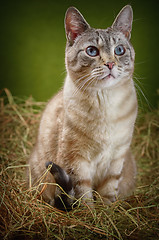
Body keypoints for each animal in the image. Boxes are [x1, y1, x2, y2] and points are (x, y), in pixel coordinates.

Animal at [27, 4, 137, 209]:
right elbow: (83, 195)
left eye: (119, 50)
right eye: (92, 51)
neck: (106, 102)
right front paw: (90, 215)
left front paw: (106, 214)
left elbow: (108, 194)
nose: (110, 64)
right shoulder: (76, 160)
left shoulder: (116, 158)